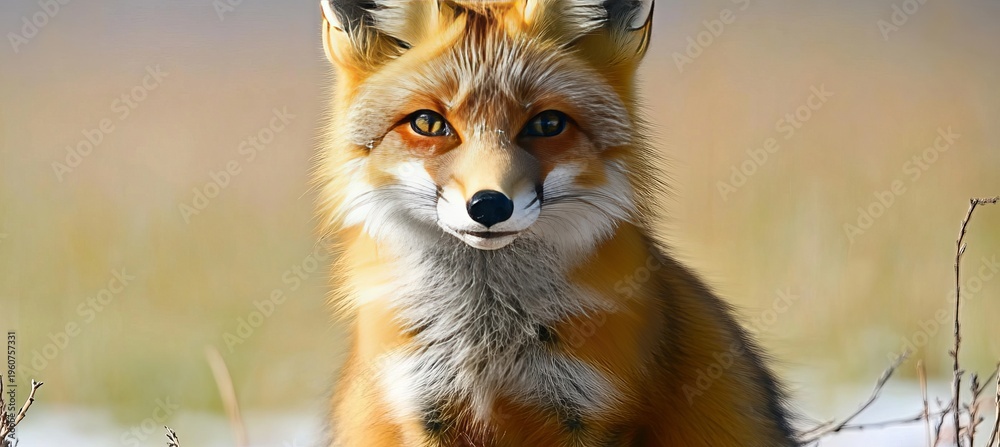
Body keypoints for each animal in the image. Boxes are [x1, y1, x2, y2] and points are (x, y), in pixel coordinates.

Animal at [315, 0, 797, 446]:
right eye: (428, 123)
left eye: (547, 123)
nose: (489, 206)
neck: (487, 339)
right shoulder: (424, 409)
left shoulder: (598, 413)